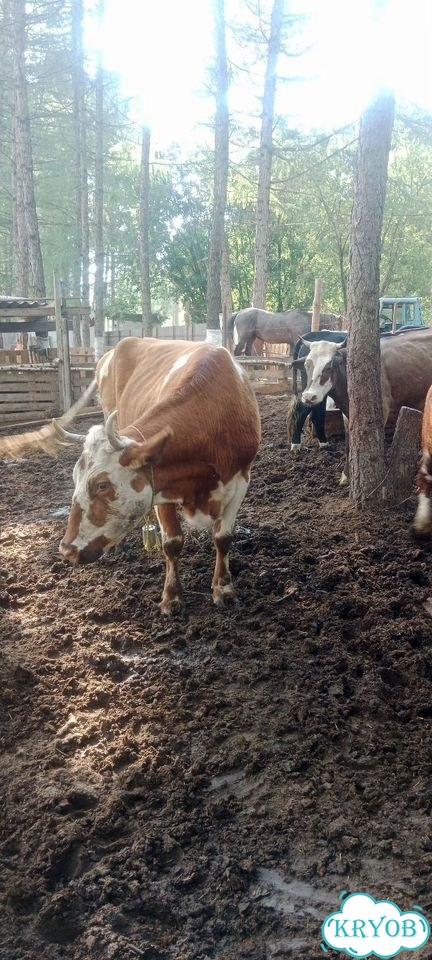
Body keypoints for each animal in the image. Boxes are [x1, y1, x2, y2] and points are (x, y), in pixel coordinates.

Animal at [0, 338, 261, 614]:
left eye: (102, 485)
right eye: (74, 478)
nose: (67, 550)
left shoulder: (241, 480)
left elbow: (223, 538)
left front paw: (224, 589)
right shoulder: (160, 487)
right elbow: (172, 542)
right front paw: (172, 597)